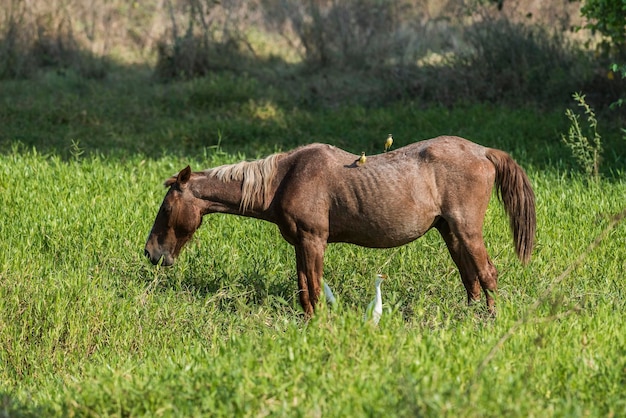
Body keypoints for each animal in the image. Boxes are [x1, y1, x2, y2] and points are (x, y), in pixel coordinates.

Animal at [144, 137, 532, 316]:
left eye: (167, 207)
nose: (151, 253)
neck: (284, 180)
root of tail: (483, 151)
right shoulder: (301, 243)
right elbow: (304, 288)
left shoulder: (314, 240)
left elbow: (314, 288)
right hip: (449, 231)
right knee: (470, 276)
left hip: (466, 229)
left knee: (487, 273)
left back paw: (490, 319)